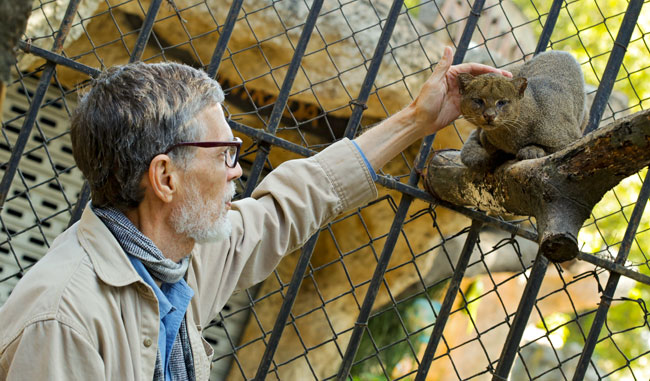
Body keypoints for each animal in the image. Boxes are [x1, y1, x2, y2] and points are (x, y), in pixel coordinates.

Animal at [456, 50, 588, 169]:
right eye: (478, 100)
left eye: (502, 102)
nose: (489, 115)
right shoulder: (485, 136)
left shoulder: (570, 140)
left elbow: (551, 150)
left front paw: (532, 150)